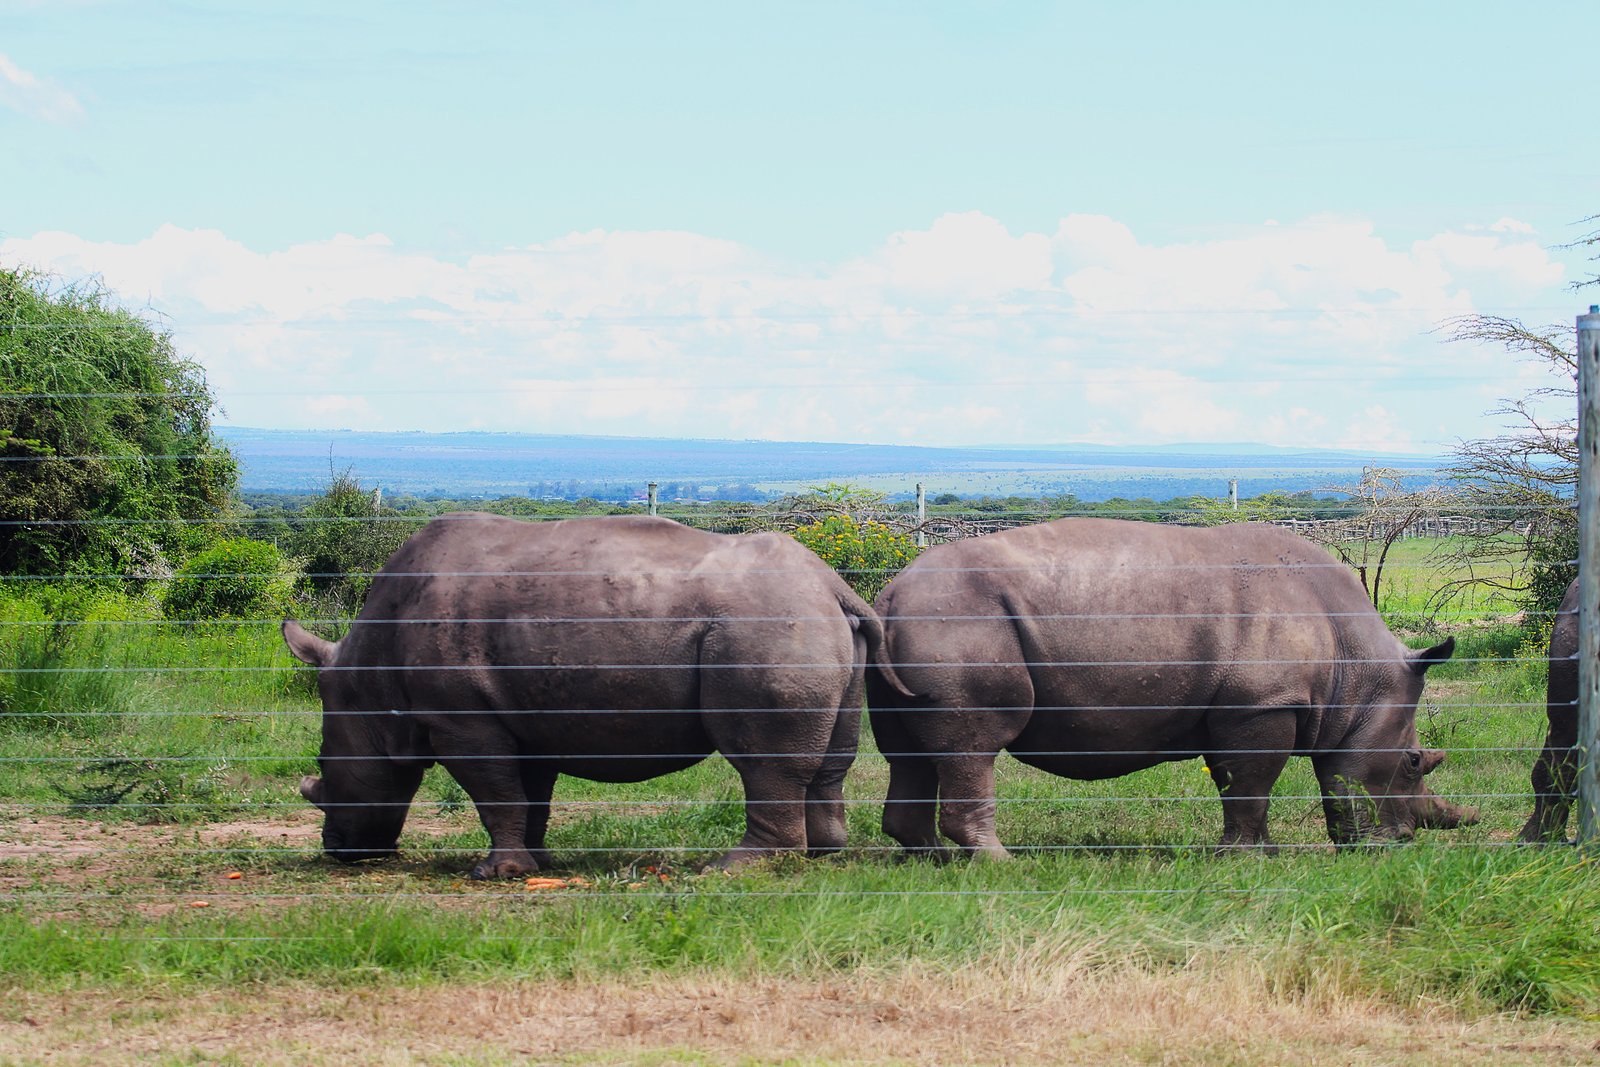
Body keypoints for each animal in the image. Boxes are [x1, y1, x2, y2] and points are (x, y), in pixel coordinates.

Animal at [285, 512, 909, 879]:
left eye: (324, 766)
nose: (337, 849)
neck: (367, 678)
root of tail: (832, 583)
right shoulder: (519, 713)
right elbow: (528, 793)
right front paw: (534, 862)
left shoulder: (459, 717)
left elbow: (493, 791)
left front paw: (494, 874)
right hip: (810, 622)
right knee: (831, 757)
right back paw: (821, 856)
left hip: (766, 624)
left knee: (759, 759)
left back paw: (729, 869)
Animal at [866, 518, 1476, 856]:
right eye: (1414, 762)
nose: (1400, 843)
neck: (1358, 668)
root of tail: (890, 593)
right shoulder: (1262, 705)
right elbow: (1252, 783)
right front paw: (1244, 860)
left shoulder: (1240, 706)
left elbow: (1238, 785)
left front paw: (1267, 853)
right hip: (960, 621)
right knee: (973, 747)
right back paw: (1001, 864)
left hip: (920, 625)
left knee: (910, 752)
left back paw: (934, 861)